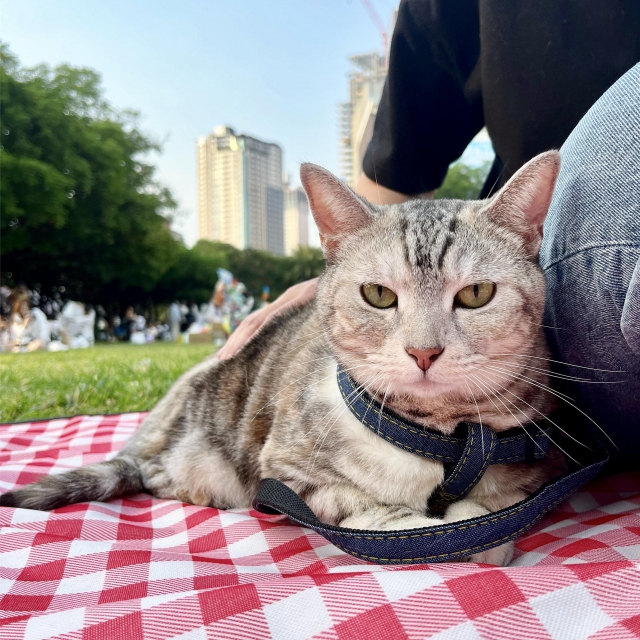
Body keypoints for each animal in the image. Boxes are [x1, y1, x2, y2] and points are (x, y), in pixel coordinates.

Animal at [0, 149, 564, 564]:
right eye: (378, 295)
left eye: (476, 294)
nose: (423, 351)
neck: (438, 437)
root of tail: (145, 442)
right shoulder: (286, 473)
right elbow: (369, 506)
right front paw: (448, 527)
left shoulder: (533, 463)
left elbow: (504, 499)